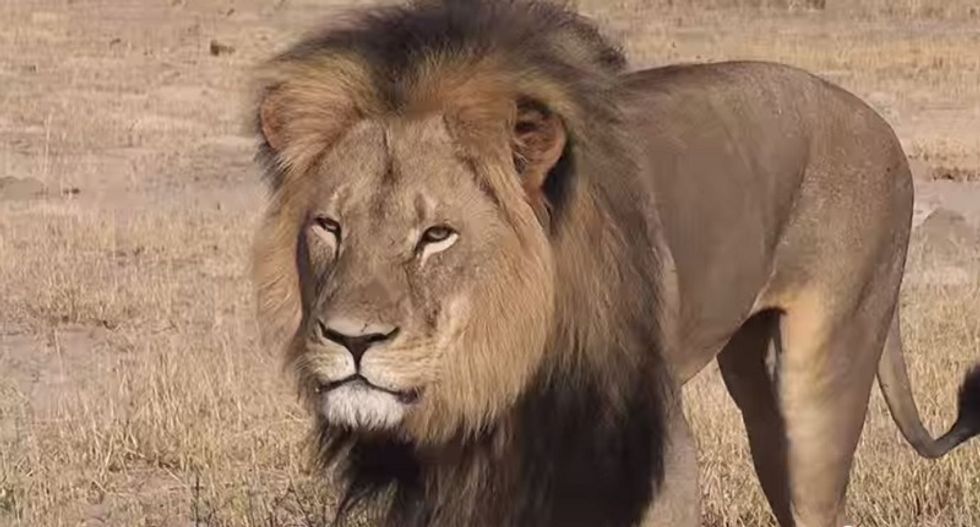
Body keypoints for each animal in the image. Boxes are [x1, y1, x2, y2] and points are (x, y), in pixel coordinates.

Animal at [249, 1, 980, 526]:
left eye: (436, 235)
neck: (502, 371)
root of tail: (878, 121)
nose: (351, 339)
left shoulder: (660, 459)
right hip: (755, 384)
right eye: (329, 227)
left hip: (825, 379)